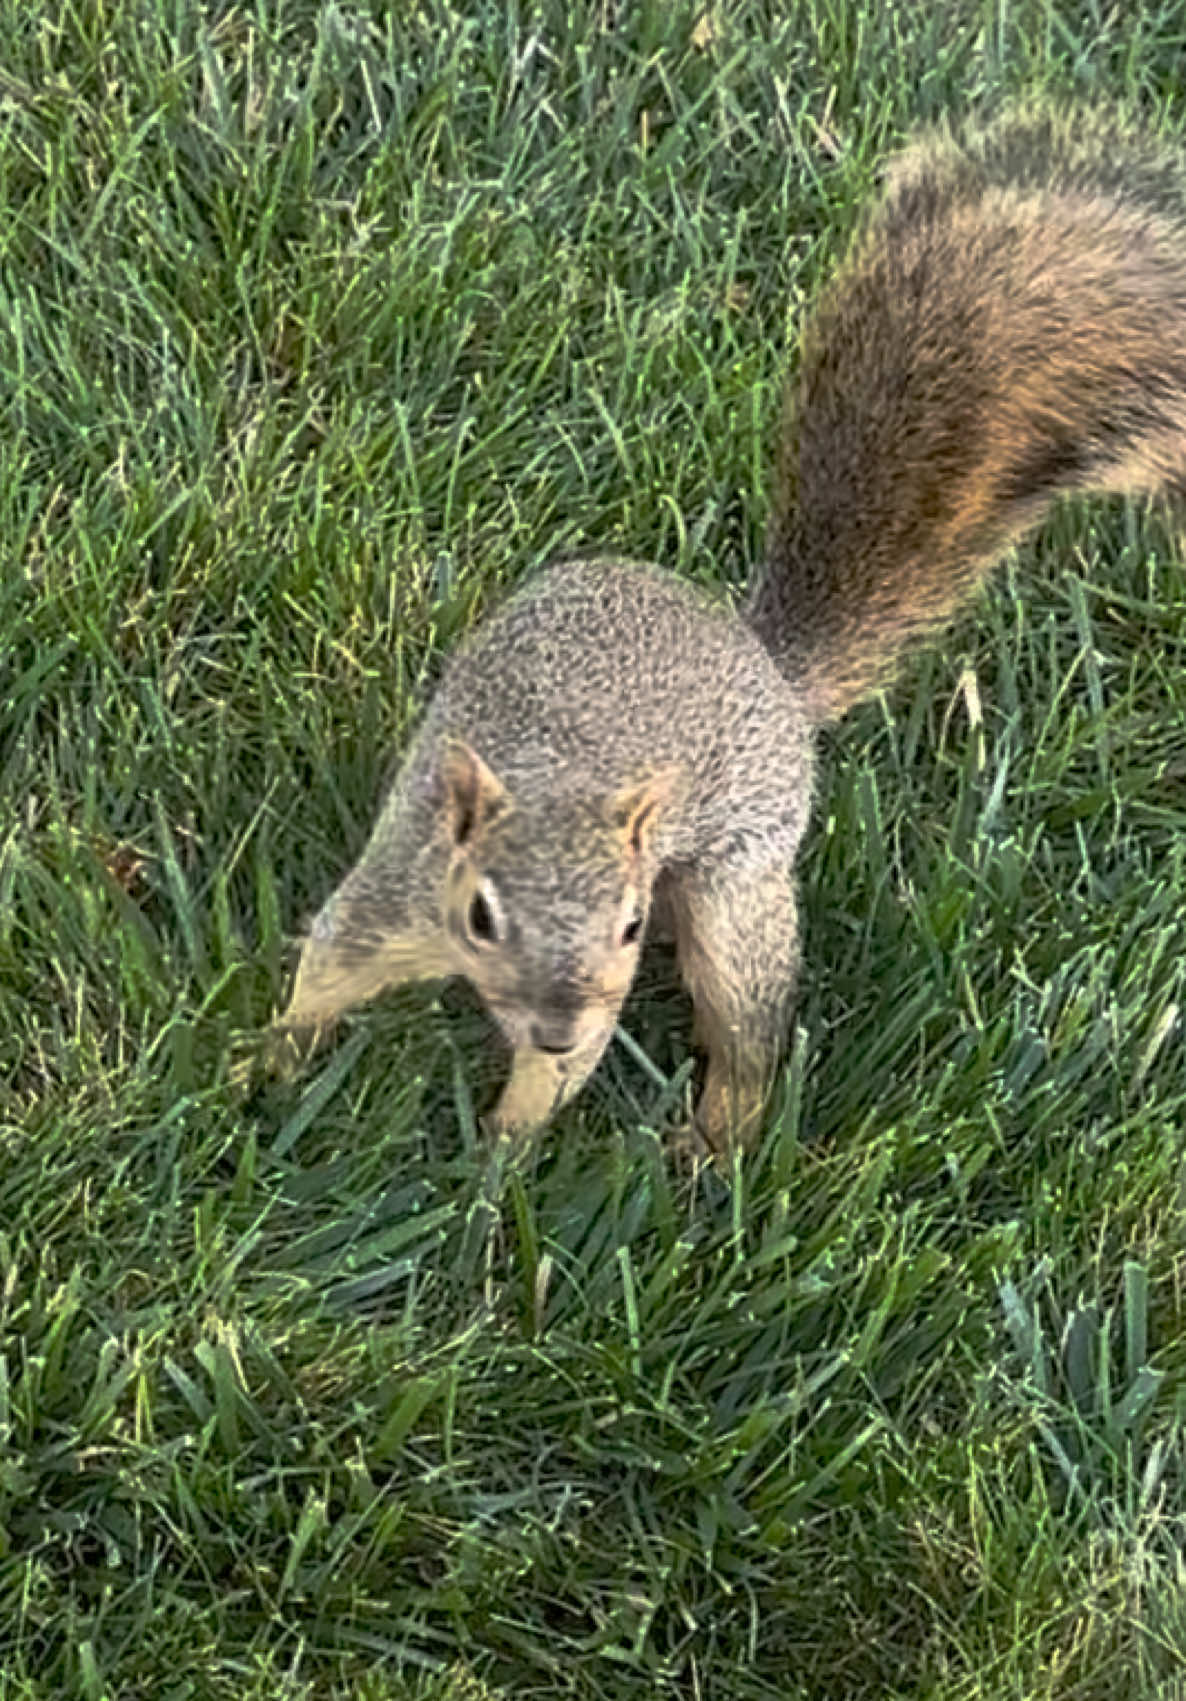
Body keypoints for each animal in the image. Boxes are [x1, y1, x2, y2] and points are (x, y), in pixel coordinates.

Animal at [276, 104, 1186, 1157]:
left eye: (627, 927)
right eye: (480, 915)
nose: (555, 1025)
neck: (555, 777)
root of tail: (766, 668)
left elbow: (556, 1082)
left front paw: (497, 1154)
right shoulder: (397, 893)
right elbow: (325, 968)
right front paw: (264, 1067)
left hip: (738, 877)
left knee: (745, 1018)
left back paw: (716, 1142)